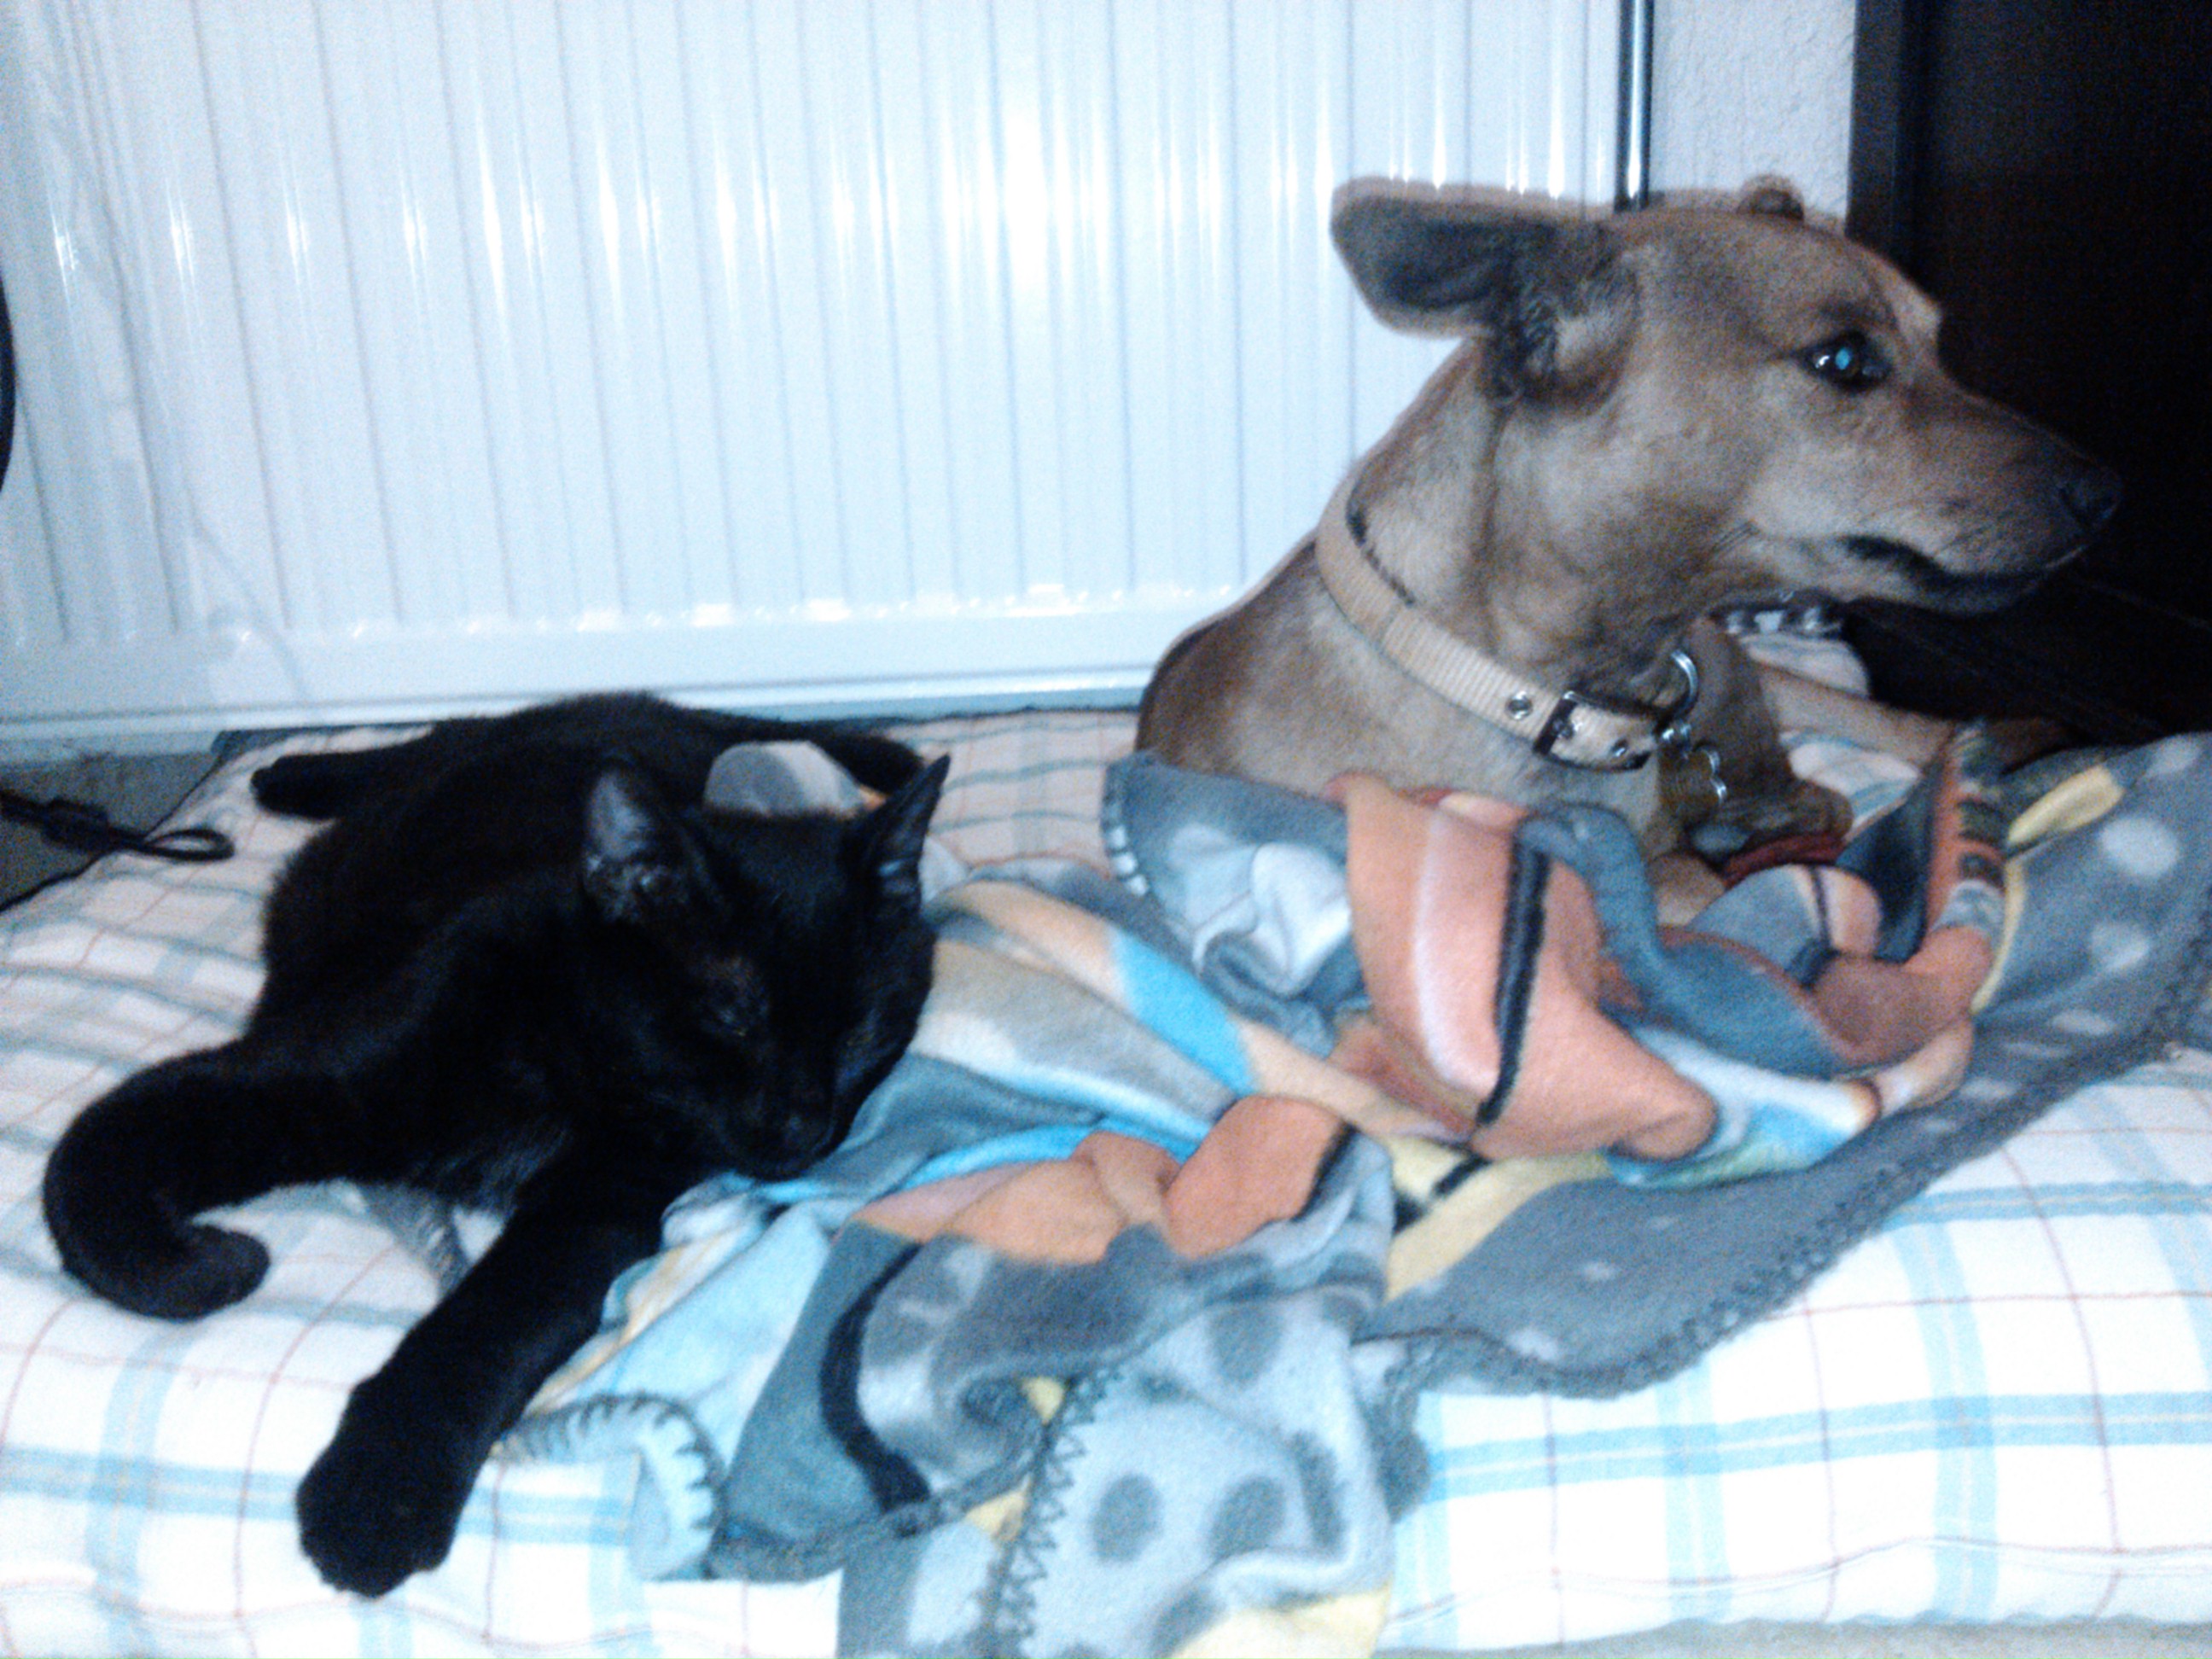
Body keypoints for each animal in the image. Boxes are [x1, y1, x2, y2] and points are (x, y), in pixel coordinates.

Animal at [41, 693, 948, 1596]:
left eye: (863, 1033)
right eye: (733, 1014)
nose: (805, 1124)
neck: (571, 1051)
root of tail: (664, 716)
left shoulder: (601, 1204)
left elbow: (490, 1325)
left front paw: (379, 1491)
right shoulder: (303, 1078)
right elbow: (90, 1161)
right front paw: (210, 1266)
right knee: (431, 739)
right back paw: (288, 769)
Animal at [1138, 178, 2120, 907]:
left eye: (1937, 343)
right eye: (1844, 360)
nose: (2104, 494)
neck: (1539, 691)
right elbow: (1687, 882)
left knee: (1888, 727)